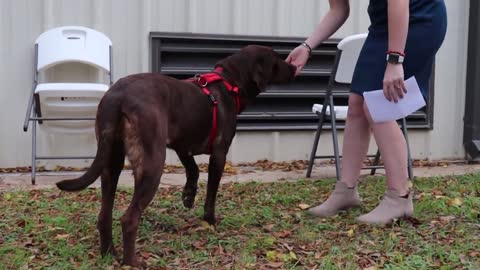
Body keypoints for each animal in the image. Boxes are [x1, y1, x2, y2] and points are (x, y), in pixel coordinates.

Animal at [56, 45, 296, 266]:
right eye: (277, 59)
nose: (294, 67)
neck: (229, 82)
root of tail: (118, 96)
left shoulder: (180, 145)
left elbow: (193, 169)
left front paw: (188, 196)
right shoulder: (219, 154)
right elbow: (211, 192)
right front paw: (209, 220)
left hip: (110, 163)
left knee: (104, 215)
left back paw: (109, 254)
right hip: (153, 163)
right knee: (129, 219)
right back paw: (131, 262)